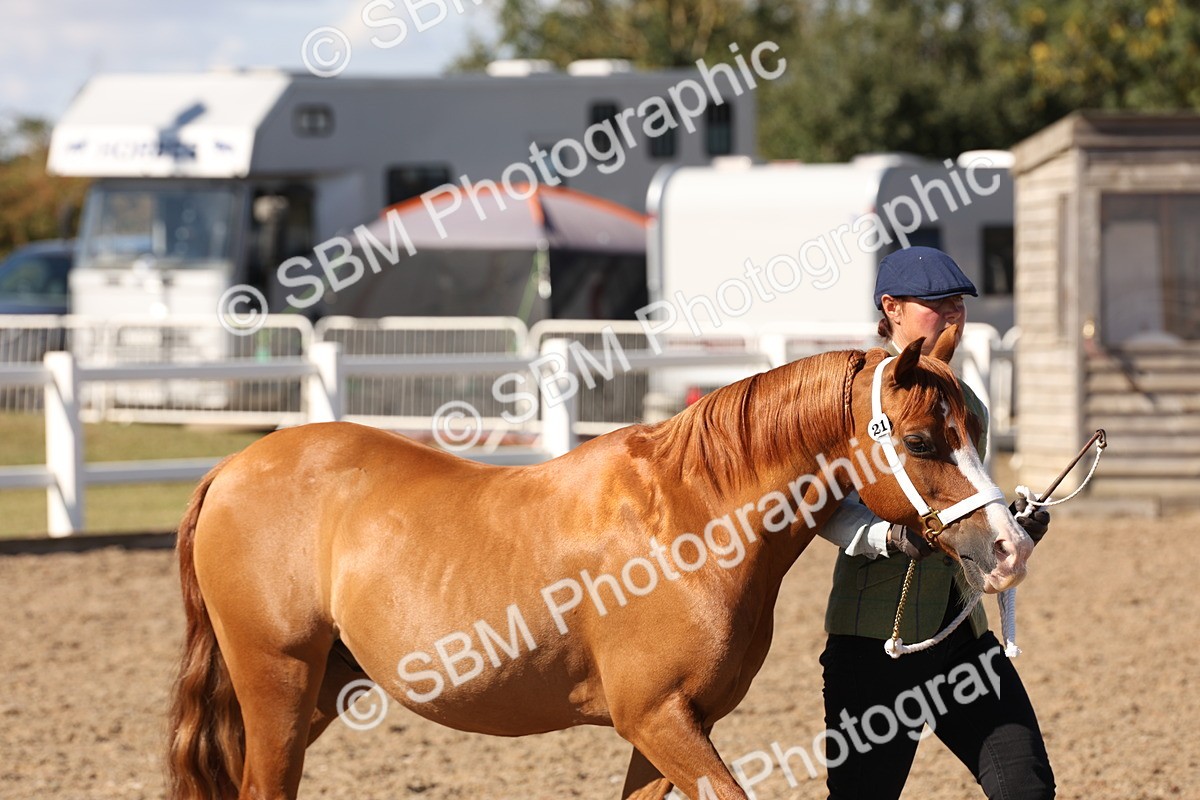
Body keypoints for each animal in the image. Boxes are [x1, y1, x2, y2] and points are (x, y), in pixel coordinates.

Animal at [167, 325, 1032, 800]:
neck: (692, 519)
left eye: (976, 425)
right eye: (922, 440)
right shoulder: (657, 718)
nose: (1009, 546)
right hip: (276, 678)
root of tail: (230, 470)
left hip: (317, 687)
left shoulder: (669, 727)